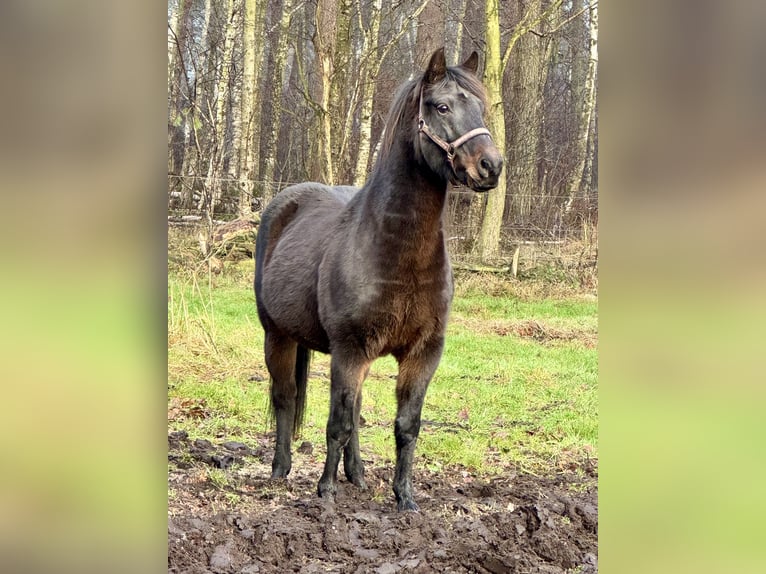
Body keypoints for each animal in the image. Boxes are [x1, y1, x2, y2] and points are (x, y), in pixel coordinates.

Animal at [254, 48, 503, 511]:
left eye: (481, 107)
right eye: (441, 106)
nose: (490, 166)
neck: (396, 255)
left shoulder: (423, 353)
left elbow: (405, 425)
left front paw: (404, 498)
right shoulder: (348, 350)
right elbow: (336, 423)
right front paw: (326, 492)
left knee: (354, 409)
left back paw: (357, 474)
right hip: (277, 335)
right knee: (285, 398)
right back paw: (281, 471)